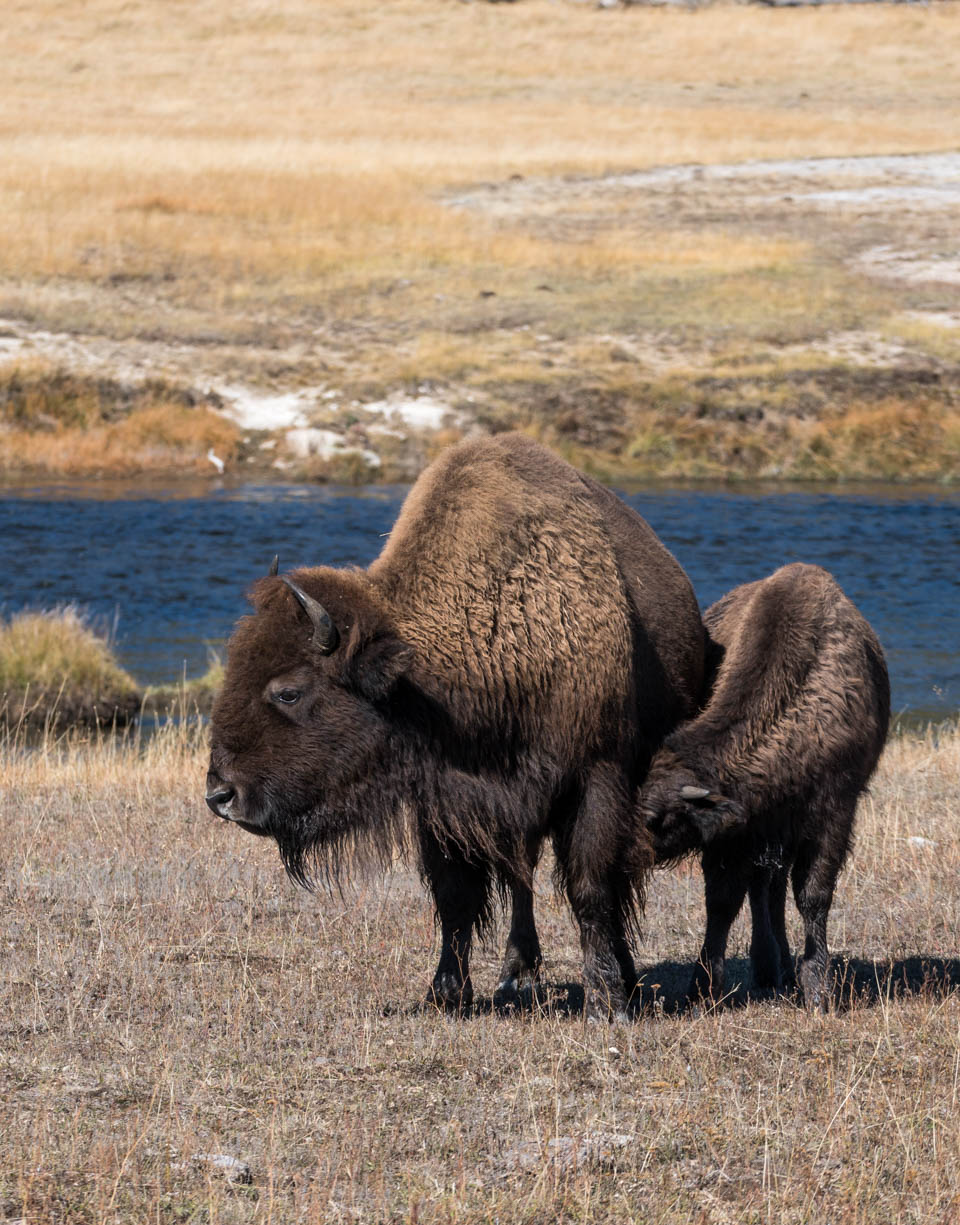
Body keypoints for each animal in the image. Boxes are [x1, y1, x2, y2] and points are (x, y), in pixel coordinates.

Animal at [205, 431, 700, 1014]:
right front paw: (446, 992)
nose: (221, 795)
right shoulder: (443, 800)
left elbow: (591, 887)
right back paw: (517, 975)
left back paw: (611, 976)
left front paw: (607, 1000)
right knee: (521, 877)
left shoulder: (598, 775)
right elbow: (456, 896)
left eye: (288, 691)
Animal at [636, 561, 891, 1009]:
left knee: (773, 889)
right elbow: (723, 902)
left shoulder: (832, 815)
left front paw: (818, 988)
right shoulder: (740, 834)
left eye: (654, 819)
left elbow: (813, 896)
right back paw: (770, 968)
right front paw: (702, 988)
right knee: (764, 890)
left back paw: (781, 970)